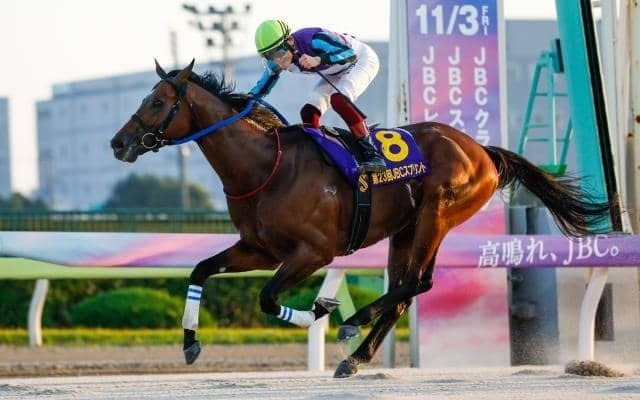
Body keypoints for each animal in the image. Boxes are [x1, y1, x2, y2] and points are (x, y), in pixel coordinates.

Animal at [110, 60, 611, 378]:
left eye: (158, 102)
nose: (119, 143)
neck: (265, 166)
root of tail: (482, 150)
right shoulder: (258, 248)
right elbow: (200, 269)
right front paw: (190, 343)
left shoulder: (314, 252)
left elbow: (268, 299)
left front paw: (321, 309)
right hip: (406, 229)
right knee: (406, 289)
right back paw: (356, 357)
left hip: (436, 215)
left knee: (416, 283)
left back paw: (353, 324)